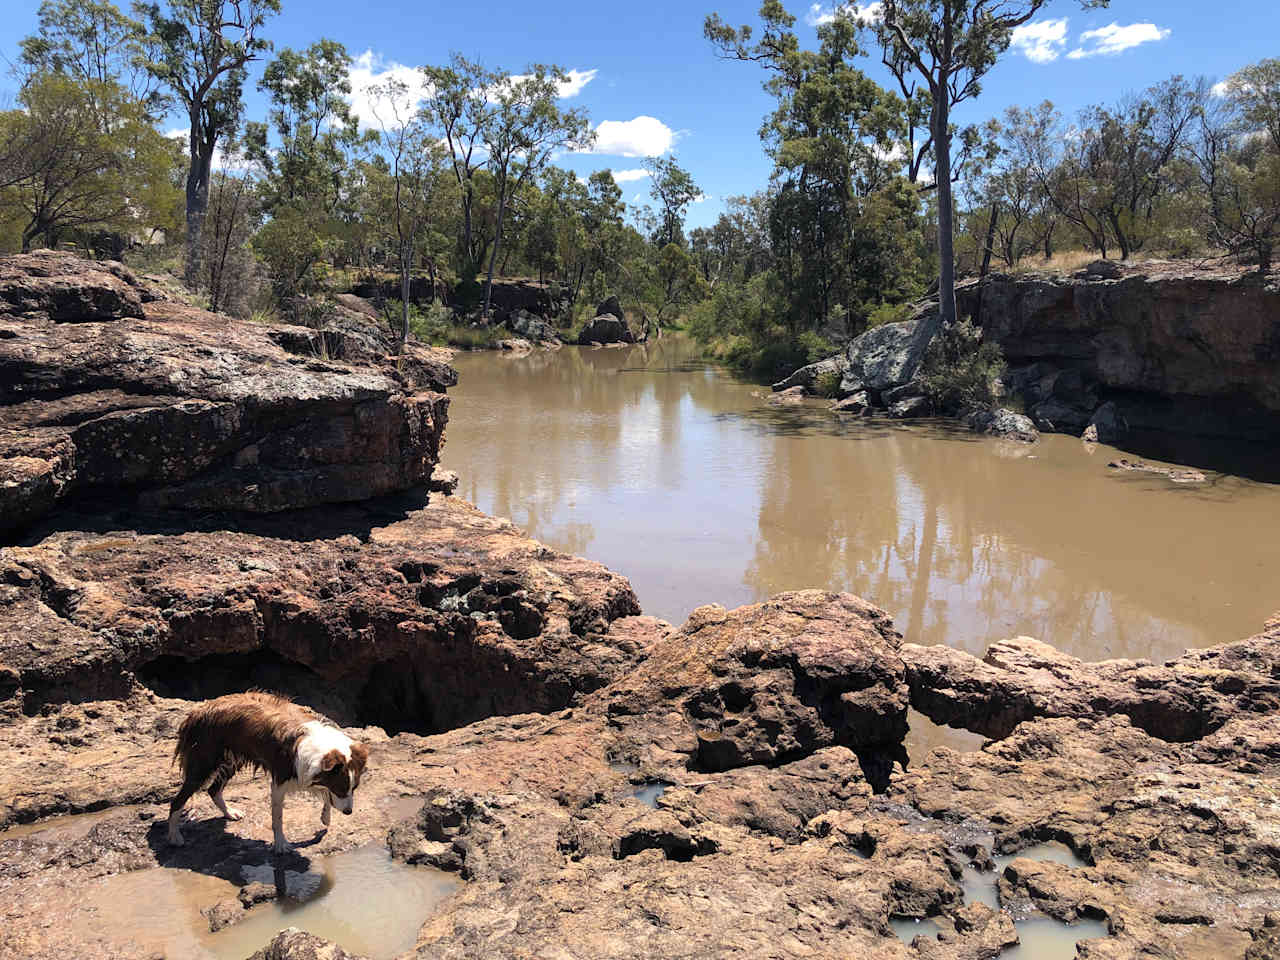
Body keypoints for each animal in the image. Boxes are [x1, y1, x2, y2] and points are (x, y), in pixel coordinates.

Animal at [167, 691, 368, 855]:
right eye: (341, 789)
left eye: (354, 788)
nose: (349, 812)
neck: (321, 745)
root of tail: (196, 712)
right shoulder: (279, 781)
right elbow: (277, 818)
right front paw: (280, 845)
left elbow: (326, 796)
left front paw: (325, 818)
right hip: (202, 766)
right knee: (177, 801)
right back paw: (175, 837)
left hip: (232, 760)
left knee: (213, 790)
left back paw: (230, 813)